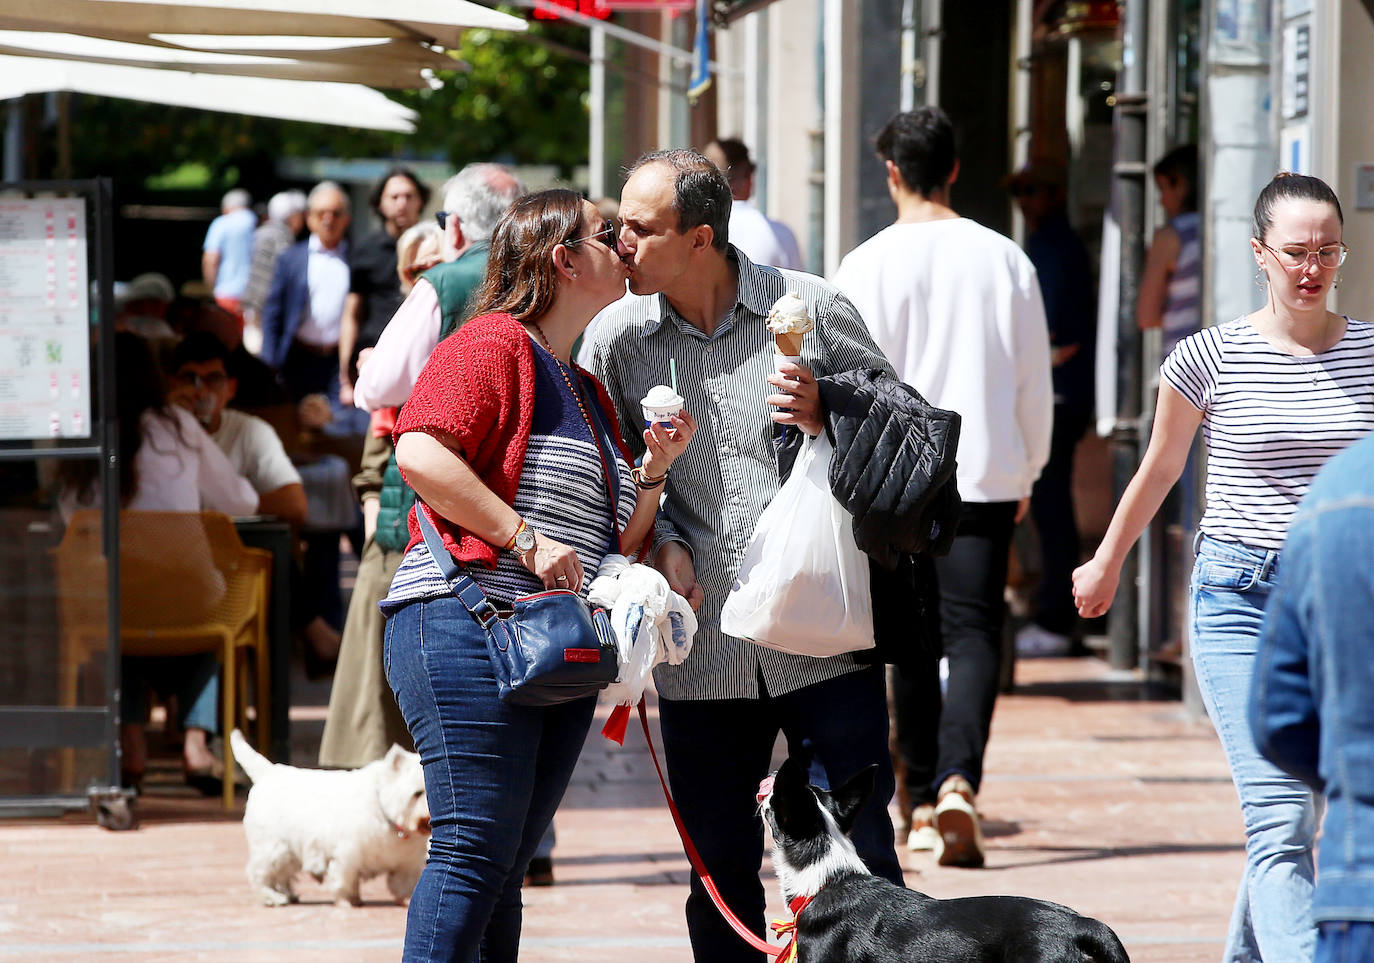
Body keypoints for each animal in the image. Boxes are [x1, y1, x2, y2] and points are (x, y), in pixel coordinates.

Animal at [232, 730, 428, 906]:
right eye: (417, 793)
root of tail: (268, 773)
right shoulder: (348, 854)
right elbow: (345, 880)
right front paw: (349, 900)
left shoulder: (408, 863)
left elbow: (406, 883)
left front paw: (408, 898)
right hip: (273, 847)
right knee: (260, 874)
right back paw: (271, 897)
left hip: (288, 852)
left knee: (281, 874)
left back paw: (288, 894)